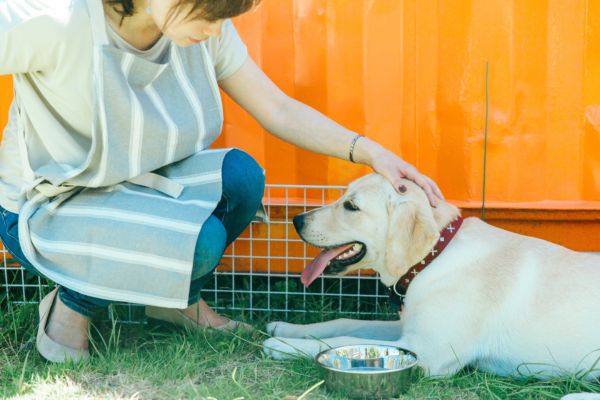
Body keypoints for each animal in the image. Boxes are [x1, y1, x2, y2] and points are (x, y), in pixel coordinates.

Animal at [264, 174, 600, 378]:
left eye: (351, 206)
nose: (296, 220)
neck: (434, 257)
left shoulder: (428, 349)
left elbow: (343, 340)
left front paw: (281, 345)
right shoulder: (409, 329)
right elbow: (344, 323)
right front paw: (286, 328)